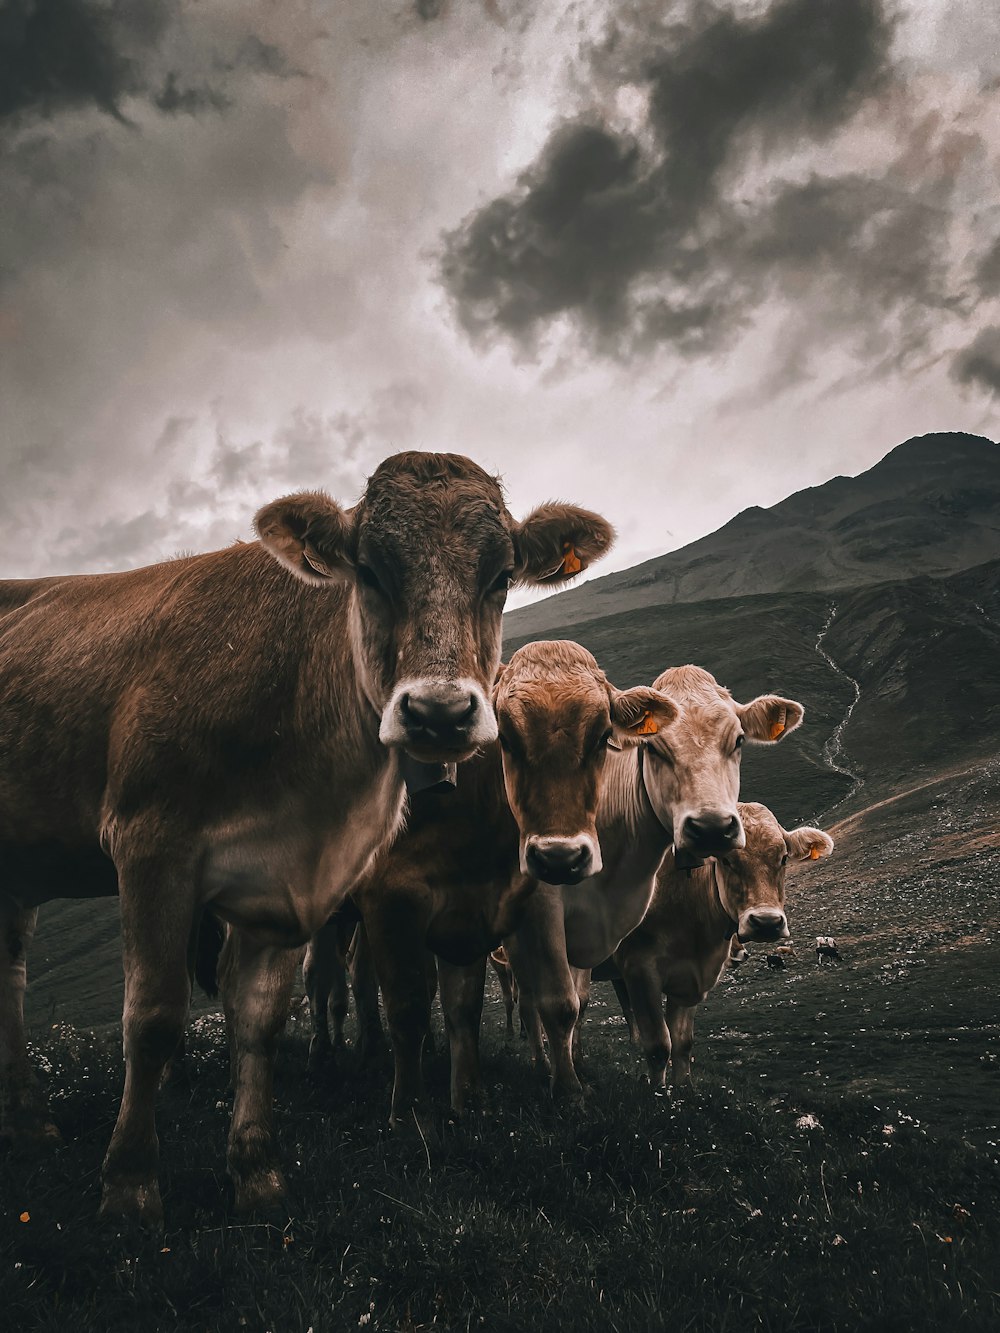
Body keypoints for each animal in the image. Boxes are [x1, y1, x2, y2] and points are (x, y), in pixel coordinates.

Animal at [0, 453, 610, 1221]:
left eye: (499, 577)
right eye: (369, 571)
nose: (439, 713)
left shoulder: (291, 879)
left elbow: (261, 1018)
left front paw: (257, 1171)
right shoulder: (150, 846)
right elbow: (153, 1017)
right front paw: (131, 1183)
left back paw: (28, 1121)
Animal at [616, 794, 832, 1087]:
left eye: (784, 858)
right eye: (726, 860)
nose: (766, 922)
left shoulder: (690, 977)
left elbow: (682, 1044)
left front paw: (683, 1090)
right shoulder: (639, 969)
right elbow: (659, 1046)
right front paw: (659, 1094)